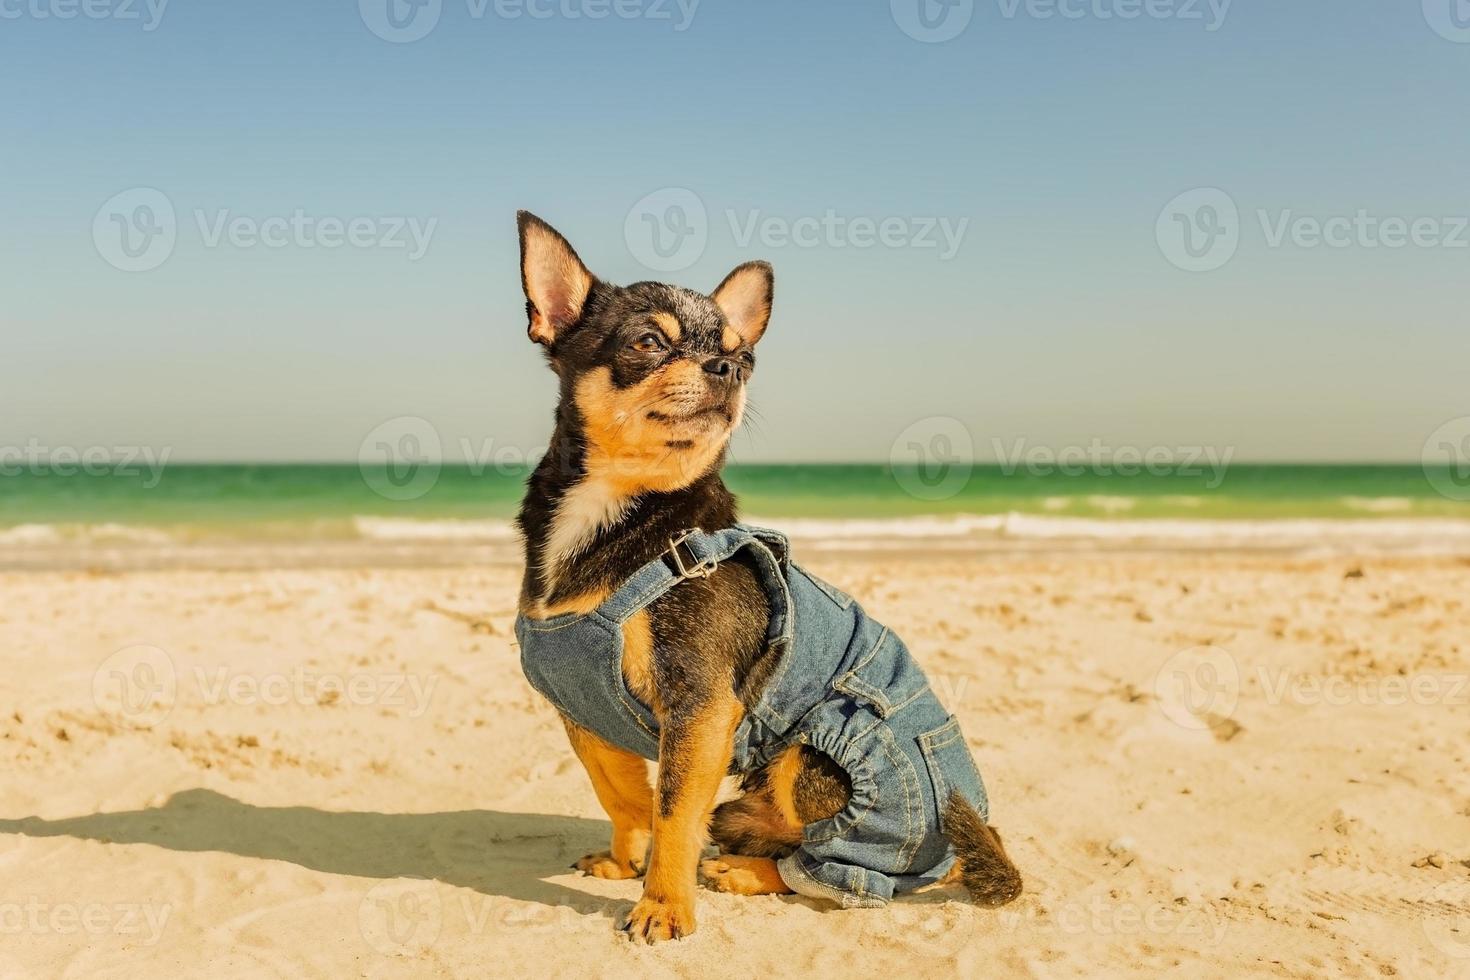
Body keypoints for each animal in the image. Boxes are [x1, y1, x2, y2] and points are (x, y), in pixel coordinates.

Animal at [511, 213, 1017, 940]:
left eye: (743, 355)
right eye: (647, 342)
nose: (728, 367)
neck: (621, 504)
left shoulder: (699, 707)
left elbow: (673, 813)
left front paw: (663, 906)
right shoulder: (580, 706)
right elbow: (623, 794)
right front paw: (625, 861)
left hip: (819, 752)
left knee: (840, 873)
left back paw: (748, 872)